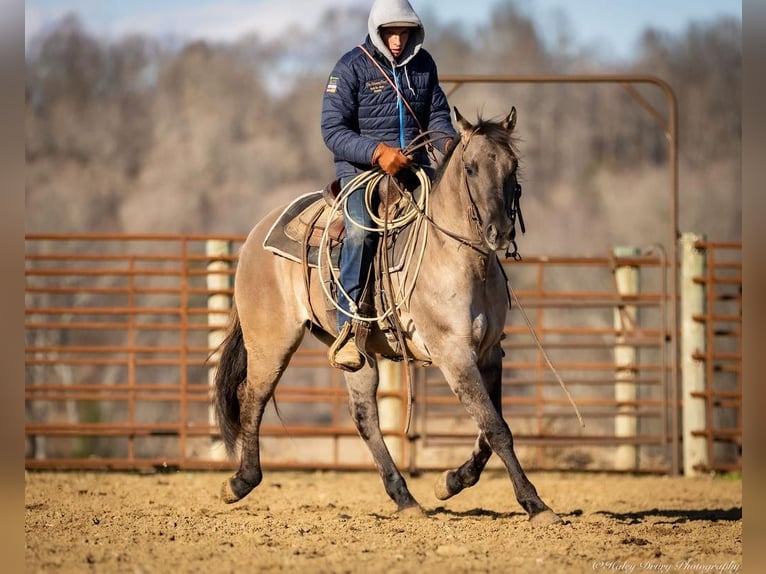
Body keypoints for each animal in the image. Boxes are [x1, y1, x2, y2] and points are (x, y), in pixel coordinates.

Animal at [216, 107, 564, 528]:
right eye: (471, 167)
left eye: (513, 166)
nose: (500, 231)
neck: (458, 256)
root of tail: (255, 236)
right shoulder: (454, 354)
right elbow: (497, 428)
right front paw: (535, 503)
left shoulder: (489, 352)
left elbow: (488, 428)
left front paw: (449, 482)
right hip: (271, 342)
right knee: (253, 397)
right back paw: (240, 482)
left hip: (356, 354)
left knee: (364, 416)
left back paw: (405, 498)